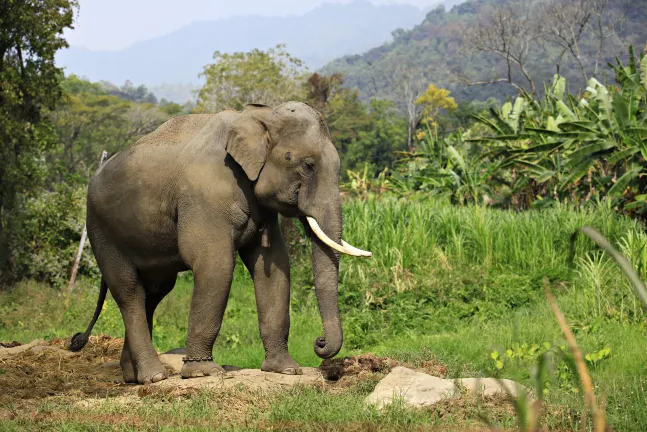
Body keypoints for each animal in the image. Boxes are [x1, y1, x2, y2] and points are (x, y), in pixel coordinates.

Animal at [68, 101, 372, 384]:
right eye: (308, 166)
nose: (319, 342)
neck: (260, 116)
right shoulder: (204, 196)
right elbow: (216, 265)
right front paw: (203, 373)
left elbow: (273, 268)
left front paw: (286, 369)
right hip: (101, 230)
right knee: (129, 291)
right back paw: (154, 377)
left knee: (153, 294)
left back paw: (135, 377)